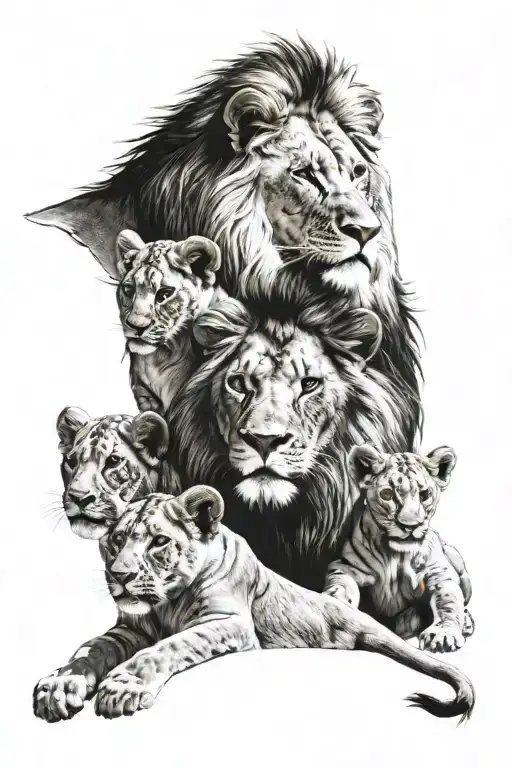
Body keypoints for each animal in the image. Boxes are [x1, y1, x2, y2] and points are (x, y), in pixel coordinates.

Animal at [33, 487, 474, 723]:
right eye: (115, 541)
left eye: (159, 542)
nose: (120, 575)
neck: (165, 603)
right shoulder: (129, 629)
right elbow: (90, 649)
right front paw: (60, 685)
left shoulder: (231, 622)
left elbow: (167, 647)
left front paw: (123, 687)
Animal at [324, 444, 474, 651]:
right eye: (387, 494)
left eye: (424, 494)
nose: (410, 526)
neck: (394, 555)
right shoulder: (346, 566)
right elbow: (341, 584)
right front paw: (336, 602)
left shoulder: (440, 574)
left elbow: (449, 601)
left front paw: (442, 634)